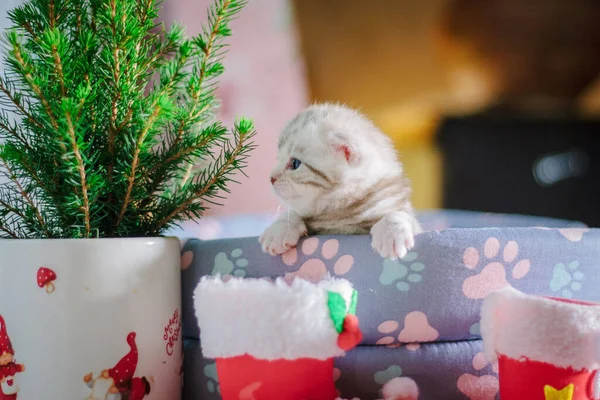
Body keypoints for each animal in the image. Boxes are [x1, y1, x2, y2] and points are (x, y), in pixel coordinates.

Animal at [258, 103, 422, 260]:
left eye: (295, 163)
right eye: (278, 159)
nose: (271, 178)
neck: (338, 212)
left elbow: (398, 213)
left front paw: (391, 232)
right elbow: (292, 212)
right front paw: (278, 230)